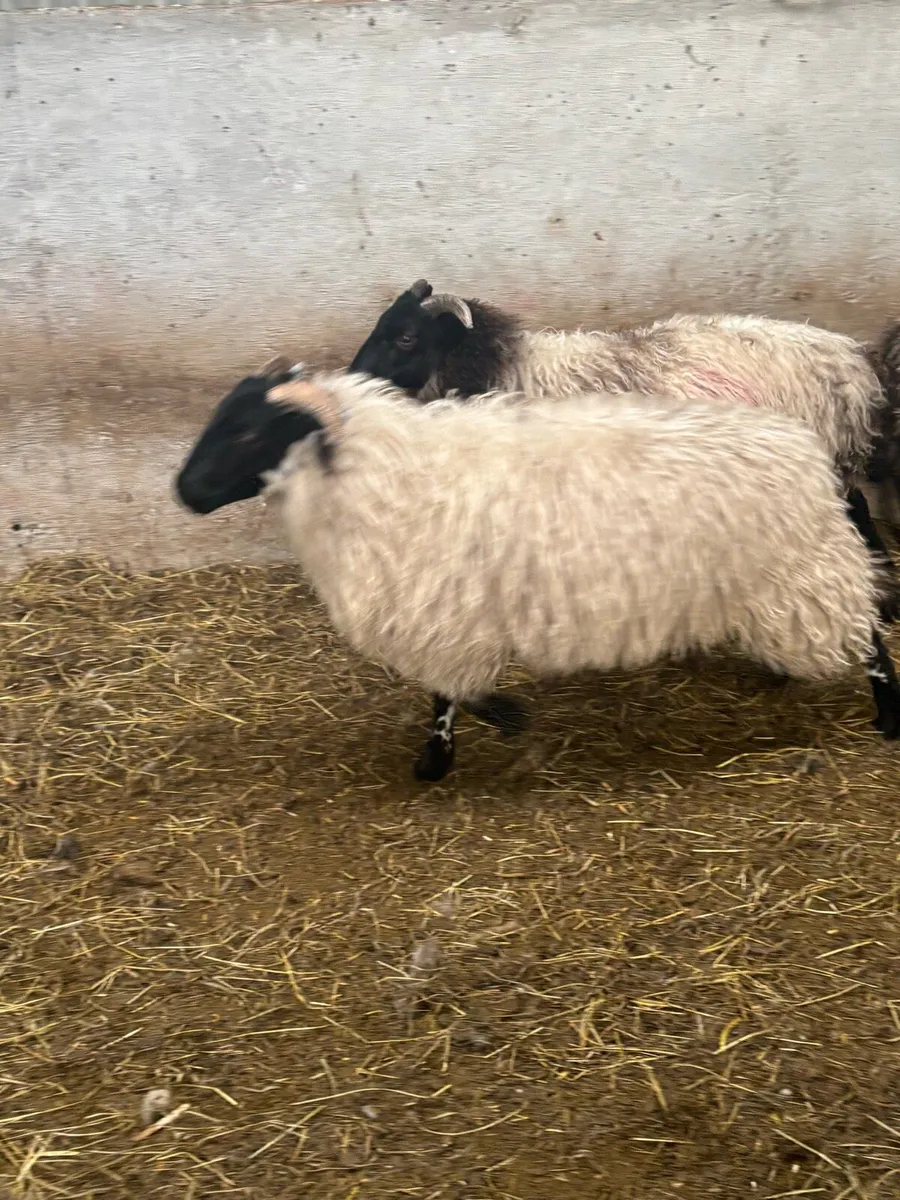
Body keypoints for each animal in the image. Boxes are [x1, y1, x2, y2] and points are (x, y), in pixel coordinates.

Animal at [175, 365, 900, 783]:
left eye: (249, 432)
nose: (184, 492)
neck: (383, 473)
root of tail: (815, 458)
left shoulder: (444, 612)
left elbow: (451, 693)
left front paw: (460, 747)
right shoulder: (449, 612)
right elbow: (449, 692)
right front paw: (472, 736)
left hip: (803, 573)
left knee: (868, 636)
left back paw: (888, 715)